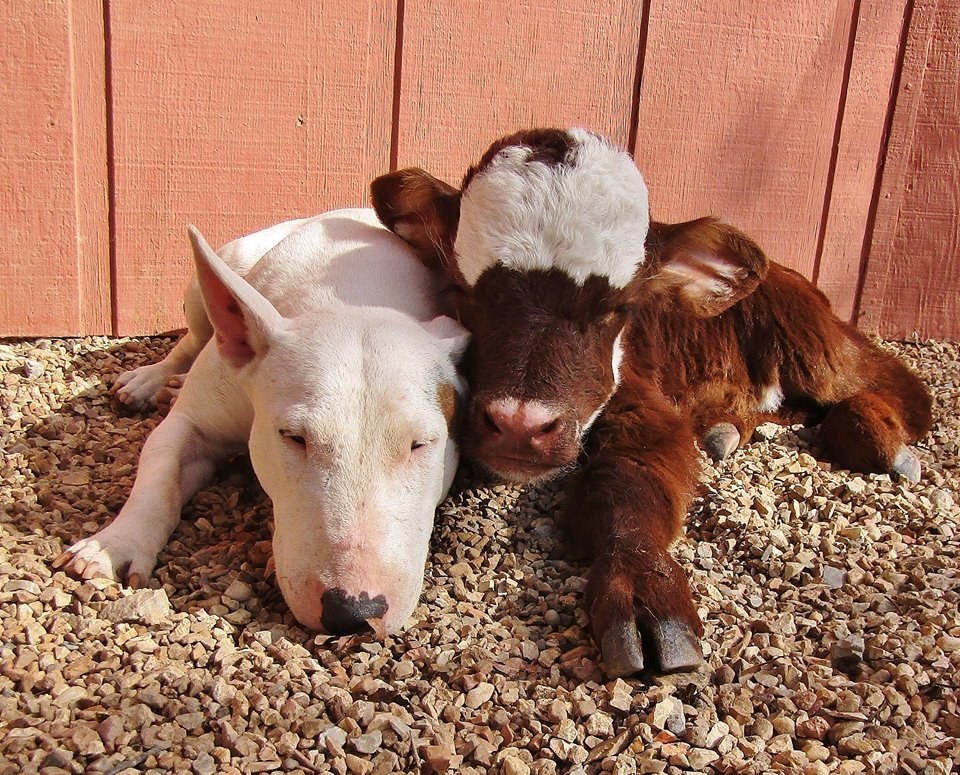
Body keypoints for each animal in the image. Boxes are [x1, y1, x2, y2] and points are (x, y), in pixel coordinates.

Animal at [55, 209, 468, 632]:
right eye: (294, 437)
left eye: (420, 444)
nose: (352, 614)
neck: (356, 295)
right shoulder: (193, 421)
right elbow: (161, 468)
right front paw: (112, 546)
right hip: (216, 277)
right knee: (191, 338)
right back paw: (152, 379)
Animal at [372, 129, 932, 680]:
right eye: (464, 291)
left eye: (619, 308)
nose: (518, 427)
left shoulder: (640, 398)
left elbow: (630, 480)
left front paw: (643, 589)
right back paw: (728, 427)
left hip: (811, 342)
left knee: (895, 382)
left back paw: (876, 435)